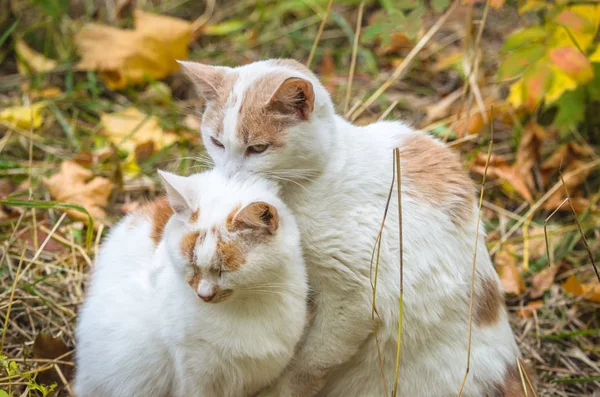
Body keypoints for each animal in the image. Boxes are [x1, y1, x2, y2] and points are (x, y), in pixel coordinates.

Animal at [182, 58, 536, 396]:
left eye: (258, 148)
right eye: (216, 142)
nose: (229, 176)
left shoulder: (356, 297)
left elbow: (308, 363)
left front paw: (280, 390)